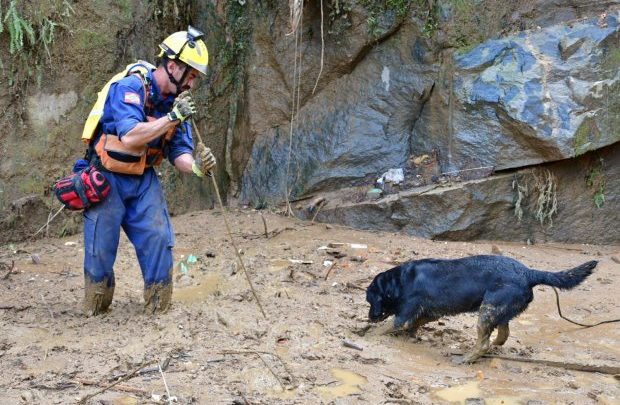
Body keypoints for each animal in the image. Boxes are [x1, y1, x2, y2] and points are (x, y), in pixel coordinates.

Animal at [366, 254, 600, 362]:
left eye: (370, 300)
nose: (370, 317)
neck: (399, 281)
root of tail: (529, 273)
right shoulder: (429, 312)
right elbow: (414, 323)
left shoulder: (404, 314)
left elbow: (387, 327)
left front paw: (365, 335)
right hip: (497, 309)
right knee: (503, 333)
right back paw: (495, 344)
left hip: (487, 311)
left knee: (484, 343)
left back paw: (467, 358)